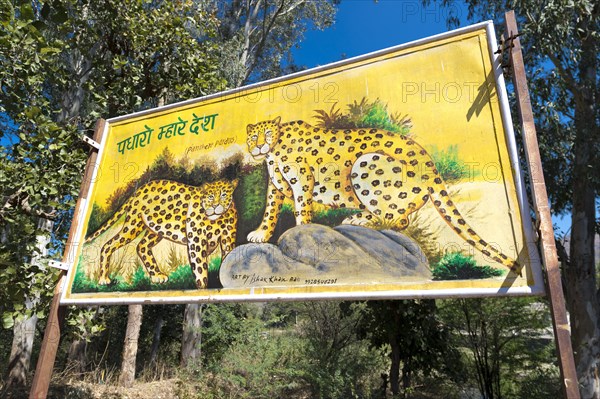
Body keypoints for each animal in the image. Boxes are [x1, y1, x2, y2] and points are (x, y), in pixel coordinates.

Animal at [85, 180, 238, 290]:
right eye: (210, 197)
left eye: (224, 194)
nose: (215, 206)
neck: (218, 219)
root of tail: (139, 190)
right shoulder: (196, 240)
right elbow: (200, 267)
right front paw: (202, 287)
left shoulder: (228, 239)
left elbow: (228, 259)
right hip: (134, 224)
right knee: (108, 245)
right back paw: (103, 279)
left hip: (155, 230)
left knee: (142, 247)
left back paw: (156, 276)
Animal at [246, 115, 524, 276]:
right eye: (253, 136)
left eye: (266, 134)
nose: (258, 146)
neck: (274, 149)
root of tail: (430, 164)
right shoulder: (276, 186)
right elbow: (269, 210)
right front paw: (261, 234)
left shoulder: (302, 179)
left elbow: (302, 208)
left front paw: (301, 231)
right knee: (400, 220)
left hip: (367, 163)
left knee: (392, 218)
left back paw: (358, 219)